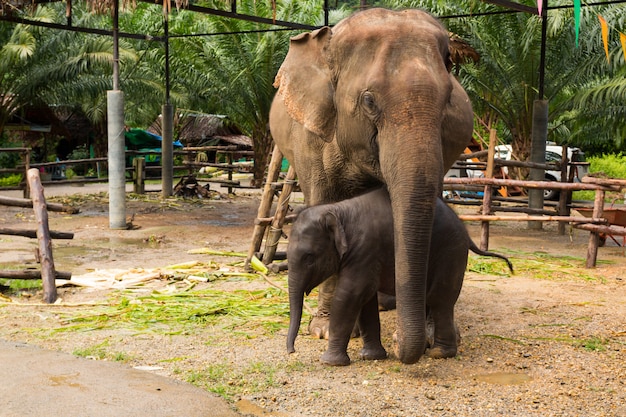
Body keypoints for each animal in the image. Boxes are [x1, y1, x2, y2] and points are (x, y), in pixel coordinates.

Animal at [270, 7, 470, 364]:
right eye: (369, 101)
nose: (401, 344)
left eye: (449, 99)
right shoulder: (311, 139)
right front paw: (324, 331)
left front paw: (428, 338)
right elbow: (325, 202)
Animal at [288, 186, 512, 364]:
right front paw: (371, 357)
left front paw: (330, 362)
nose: (291, 351)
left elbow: (350, 295)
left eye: (309, 258)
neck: (338, 209)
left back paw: (440, 353)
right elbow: (366, 300)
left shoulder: (365, 250)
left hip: (451, 253)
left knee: (440, 300)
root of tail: (464, 230)